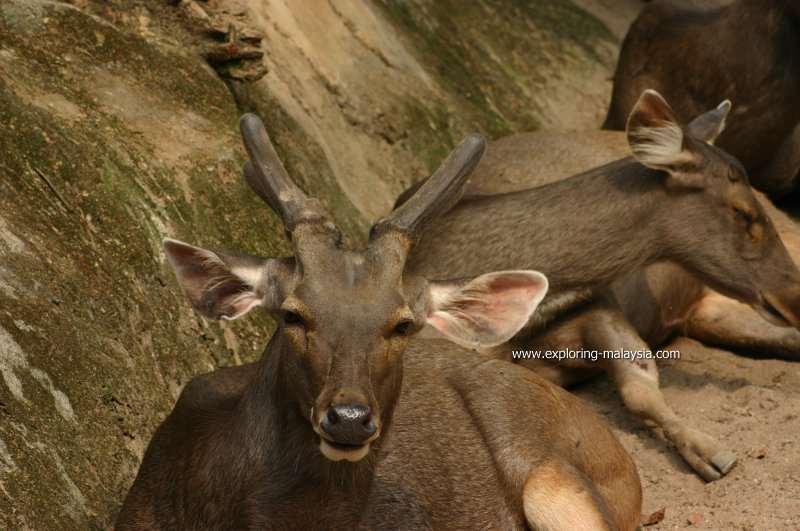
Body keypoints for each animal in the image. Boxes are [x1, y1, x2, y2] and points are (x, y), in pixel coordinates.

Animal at [400, 90, 800, 482]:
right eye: (742, 212)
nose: (793, 294)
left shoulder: (600, 300)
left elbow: (640, 383)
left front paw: (710, 451)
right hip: (710, 312)